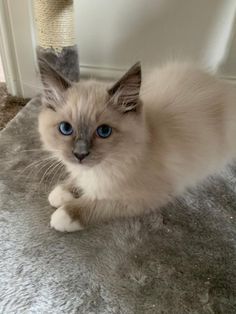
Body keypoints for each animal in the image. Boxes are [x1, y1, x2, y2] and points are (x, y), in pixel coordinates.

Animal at [37, 57, 236, 232]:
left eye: (104, 131)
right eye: (65, 128)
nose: (80, 154)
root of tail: (219, 82)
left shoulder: (144, 198)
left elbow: (98, 203)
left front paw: (65, 215)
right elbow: (76, 179)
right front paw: (60, 194)